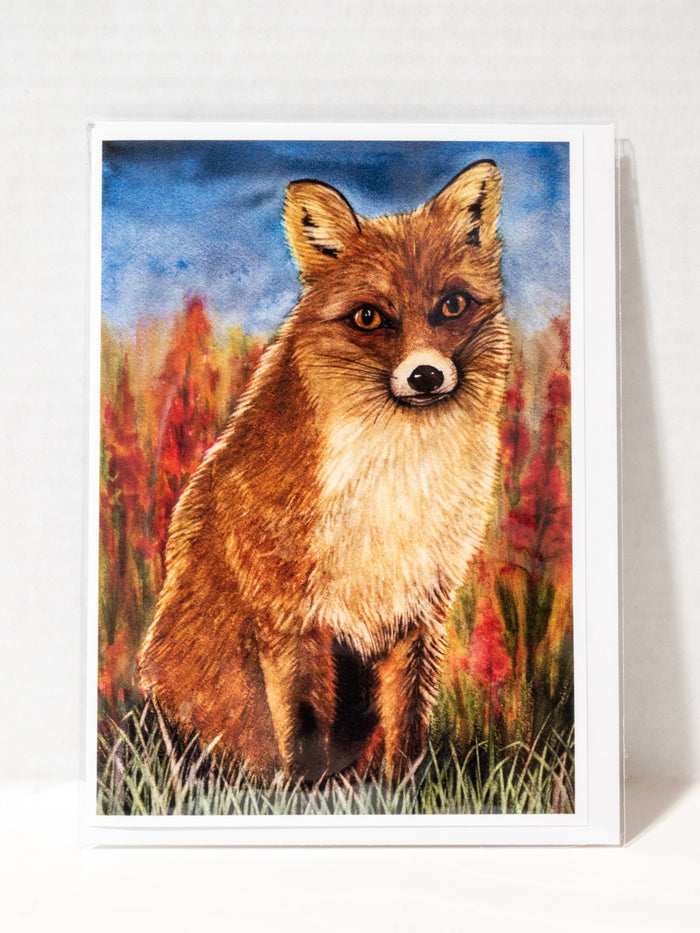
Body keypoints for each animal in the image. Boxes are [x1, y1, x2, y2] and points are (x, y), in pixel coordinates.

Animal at [137, 159, 511, 783]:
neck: (394, 482)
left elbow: (407, 727)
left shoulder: (419, 611)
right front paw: (304, 794)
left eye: (453, 306)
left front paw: (401, 791)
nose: (426, 376)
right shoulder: (291, 616)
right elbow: (306, 726)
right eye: (369, 317)